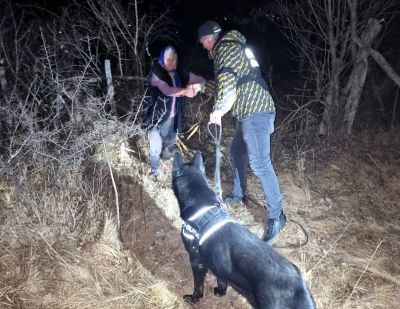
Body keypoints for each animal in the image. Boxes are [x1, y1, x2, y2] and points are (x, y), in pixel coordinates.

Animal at [172, 152, 316, 308]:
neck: (204, 209)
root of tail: (299, 289)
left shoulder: (196, 261)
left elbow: (198, 286)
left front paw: (193, 298)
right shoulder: (219, 266)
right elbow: (221, 280)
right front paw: (221, 291)